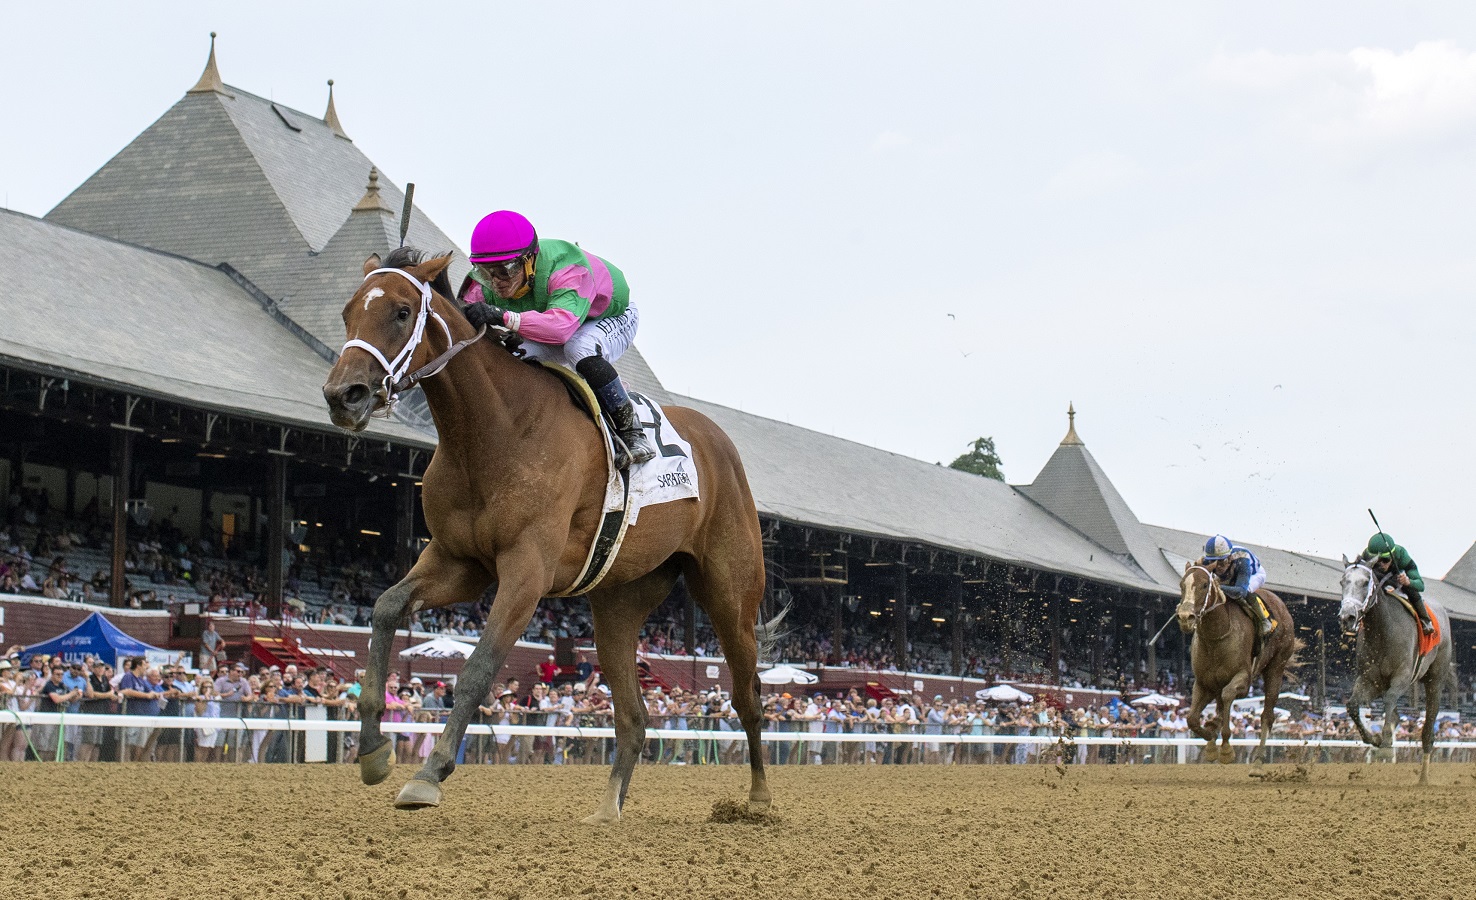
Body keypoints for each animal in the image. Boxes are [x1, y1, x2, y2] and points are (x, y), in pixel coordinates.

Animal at [323, 246, 785, 820]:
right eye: (348, 311)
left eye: (403, 312)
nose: (343, 395)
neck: (492, 431)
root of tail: (719, 441)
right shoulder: (459, 561)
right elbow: (386, 607)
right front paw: (372, 751)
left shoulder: (527, 569)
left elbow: (478, 668)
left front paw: (429, 775)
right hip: (617, 605)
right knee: (633, 716)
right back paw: (608, 808)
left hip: (730, 594)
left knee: (747, 695)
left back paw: (758, 800)